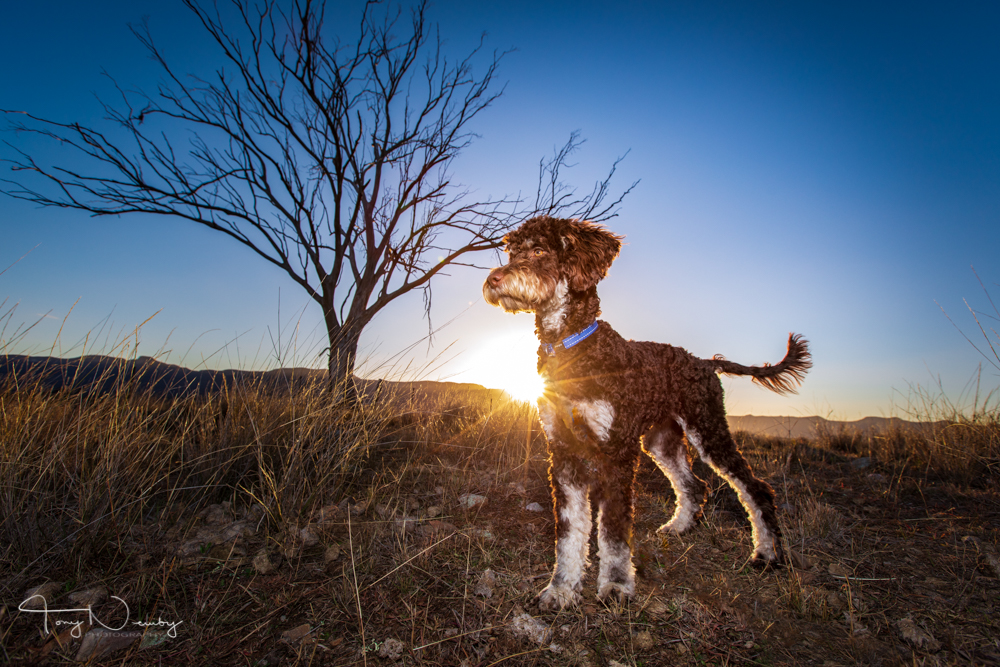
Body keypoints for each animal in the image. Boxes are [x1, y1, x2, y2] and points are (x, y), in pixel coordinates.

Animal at [482, 215, 812, 612]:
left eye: (540, 251)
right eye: (512, 250)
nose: (493, 280)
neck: (572, 347)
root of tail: (704, 363)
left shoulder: (616, 453)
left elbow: (612, 530)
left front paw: (616, 585)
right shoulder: (563, 453)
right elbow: (570, 530)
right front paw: (562, 588)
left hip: (707, 429)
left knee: (755, 489)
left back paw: (767, 553)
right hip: (661, 440)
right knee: (694, 485)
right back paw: (680, 527)